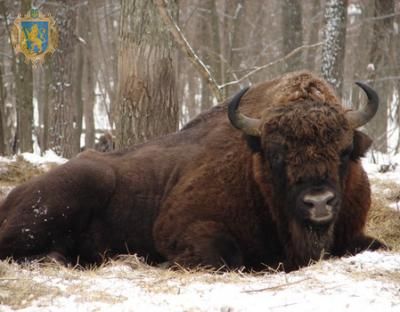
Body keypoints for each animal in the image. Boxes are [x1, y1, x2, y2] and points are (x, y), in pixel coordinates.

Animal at [0, 72, 388, 272]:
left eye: (344, 151)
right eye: (277, 154)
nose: (318, 202)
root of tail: (13, 195)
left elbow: (376, 246)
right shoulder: (182, 226)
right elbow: (226, 258)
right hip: (77, 189)